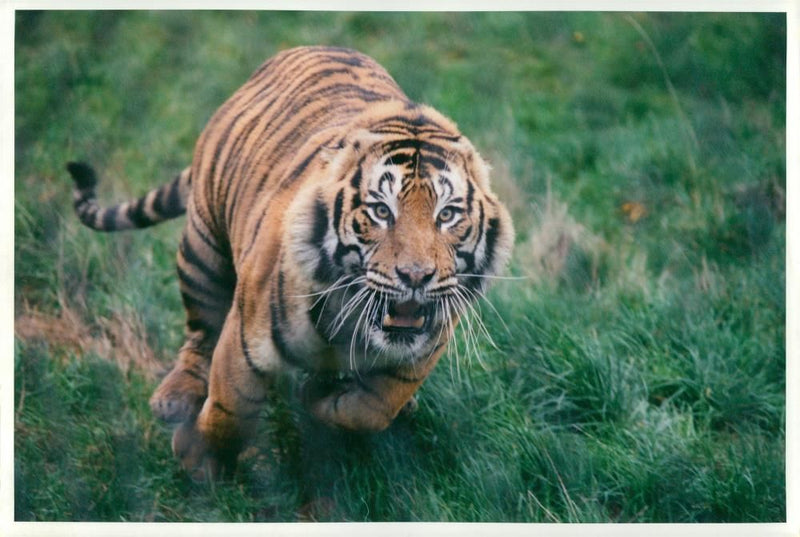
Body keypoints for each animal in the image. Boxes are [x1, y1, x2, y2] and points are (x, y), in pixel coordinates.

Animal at [70, 46, 520, 480]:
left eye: (447, 215)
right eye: (380, 211)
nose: (416, 276)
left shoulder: (421, 352)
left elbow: (372, 408)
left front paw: (321, 398)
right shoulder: (244, 339)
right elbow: (230, 409)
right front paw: (197, 456)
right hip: (202, 250)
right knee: (199, 333)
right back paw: (175, 397)